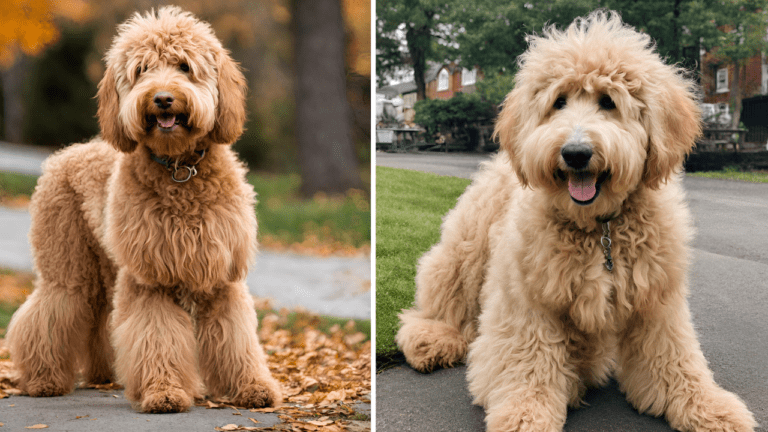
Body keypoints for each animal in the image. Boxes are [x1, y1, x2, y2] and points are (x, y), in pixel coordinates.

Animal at [6, 5, 282, 412]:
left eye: (184, 66)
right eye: (142, 70)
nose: (163, 98)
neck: (179, 168)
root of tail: (67, 151)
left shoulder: (221, 277)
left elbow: (236, 339)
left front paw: (252, 387)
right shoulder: (150, 277)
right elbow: (156, 335)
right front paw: (162, 392)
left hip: (106, 265)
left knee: (100, 316)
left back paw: (102, 374)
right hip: (69, 266)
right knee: (51, 312)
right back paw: (44, 380)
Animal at [396, 11, 756, 432]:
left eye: (608, 101)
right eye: (559, 102)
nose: (576, 153)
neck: (600, 229)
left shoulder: (657, 301)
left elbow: (674, 356)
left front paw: (707, 405)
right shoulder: (528, 299)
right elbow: (529, 357)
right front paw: (526, 412)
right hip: (466, 251)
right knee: (442, 300)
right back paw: (432, 338)